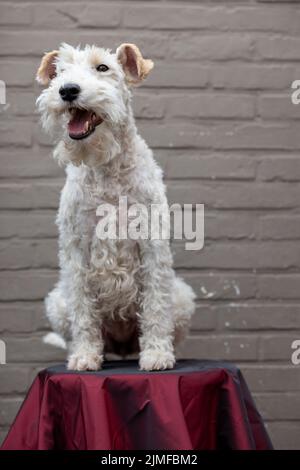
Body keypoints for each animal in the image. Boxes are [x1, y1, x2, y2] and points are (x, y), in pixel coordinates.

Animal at [36, 42, 196, 370]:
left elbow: (155, 307)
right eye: (60, 71)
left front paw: (157, 355)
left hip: (182, 297)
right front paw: (85, 357)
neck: (106, 168)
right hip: (58, 302)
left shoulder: (152, 245)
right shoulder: (76, 250)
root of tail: (122, 346)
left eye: (103, 67)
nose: (67, 90)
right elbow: (83, 312)